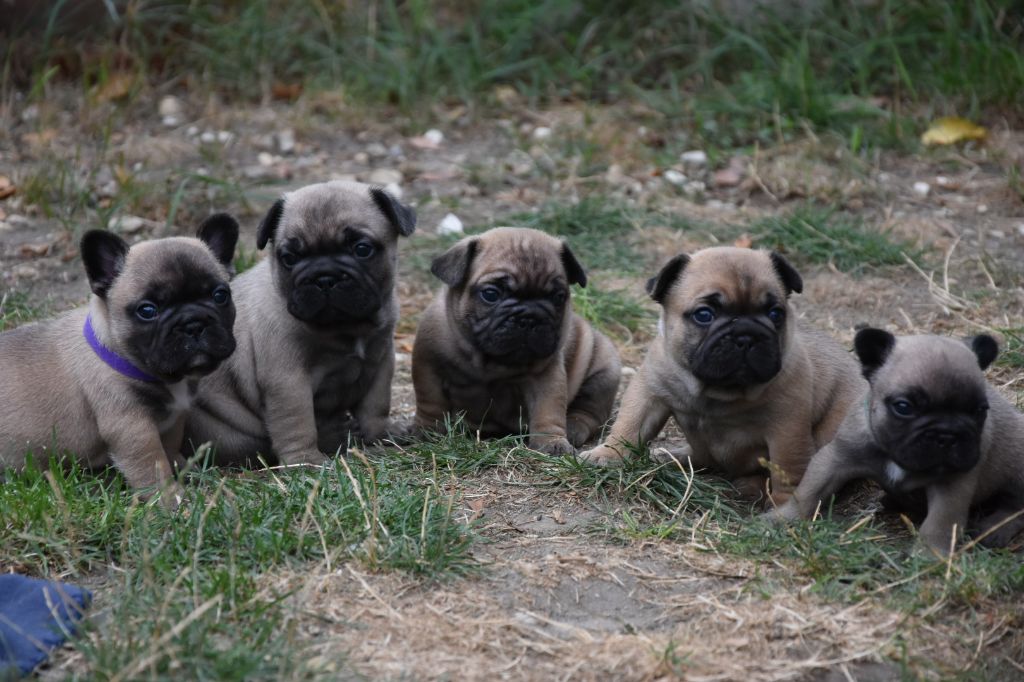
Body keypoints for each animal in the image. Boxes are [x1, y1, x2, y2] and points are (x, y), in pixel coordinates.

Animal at [0, 215, 237, 507]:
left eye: (220, 295)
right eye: (147, 310)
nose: (193, 324)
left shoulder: (173, 421)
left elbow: (169, 451)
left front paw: (186, 471)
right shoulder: (131, 427)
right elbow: (152, 466)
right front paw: (170, 500)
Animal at [188, 178, 415, 464]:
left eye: (362, 249)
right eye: (289, 258)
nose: (325, 277)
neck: (345, 328)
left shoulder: (380, 364)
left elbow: (375, 406)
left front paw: (380, 436)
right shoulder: (288, 381)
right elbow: (297, 420)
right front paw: (305, 460)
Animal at [409, 225, 618, 454]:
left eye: (558, 297)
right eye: (490, 294)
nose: (529, 317)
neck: (488, 360)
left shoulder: (546, 376)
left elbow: (548, 410)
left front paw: (551, 442)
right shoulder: (429, 368)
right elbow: (431, 402)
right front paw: (428, 431)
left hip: (604, 374)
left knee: (589, 411)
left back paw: (572, 427)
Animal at [581, 246, 860, 501]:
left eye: (775, 314)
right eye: (704, 315)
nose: (746, 335)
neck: (717, 391)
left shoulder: (787, 429)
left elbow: (787, 469)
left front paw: (786, 507)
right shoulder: (649, 392)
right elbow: (629, 425)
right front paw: (608, 454)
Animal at [770, 327, 1024, 552]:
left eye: (980, 410)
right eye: (903, 407)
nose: (947, 433)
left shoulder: (952, 485)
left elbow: (940, 521)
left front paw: (930, 554)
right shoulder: (835, 459)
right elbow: (808, 491)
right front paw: (783, 517)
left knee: (1015, 507)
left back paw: (994, 528)